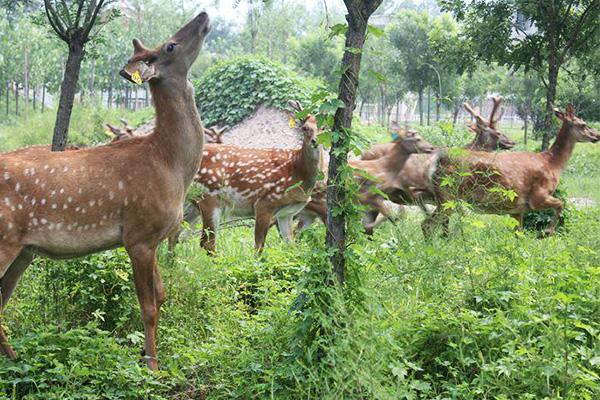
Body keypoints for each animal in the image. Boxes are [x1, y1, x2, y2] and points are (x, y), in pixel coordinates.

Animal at [0, 12, 211, 370]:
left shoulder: (152, 236)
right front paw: (152, 365)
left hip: (23, 250)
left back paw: (14, 360)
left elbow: (162, 294)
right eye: (171, 45)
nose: (203, 16)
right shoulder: (139, 234)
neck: (169, 162)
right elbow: (149, 306)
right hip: (4, 237)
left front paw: (144, 355)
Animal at [184, 100, 328, 252]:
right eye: (305, 128)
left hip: (193, 205)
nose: (315, 141)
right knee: (207, 243)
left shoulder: (286, 213)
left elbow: (291, 245)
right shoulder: (265, 202)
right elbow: (258, 246)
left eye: (324, 127)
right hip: (208, 197)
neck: (296, 171)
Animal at [422, 104, 600, 238]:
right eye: (583, 124)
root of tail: (437, 162)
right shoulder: (538, 196)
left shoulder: (517, 209)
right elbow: (561, 203)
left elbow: (518, 236)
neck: (552, 164)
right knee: (428, 224)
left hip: (444, 198)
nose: (597, 135)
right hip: (449, 195)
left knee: (429, 223)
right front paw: (546, 232)